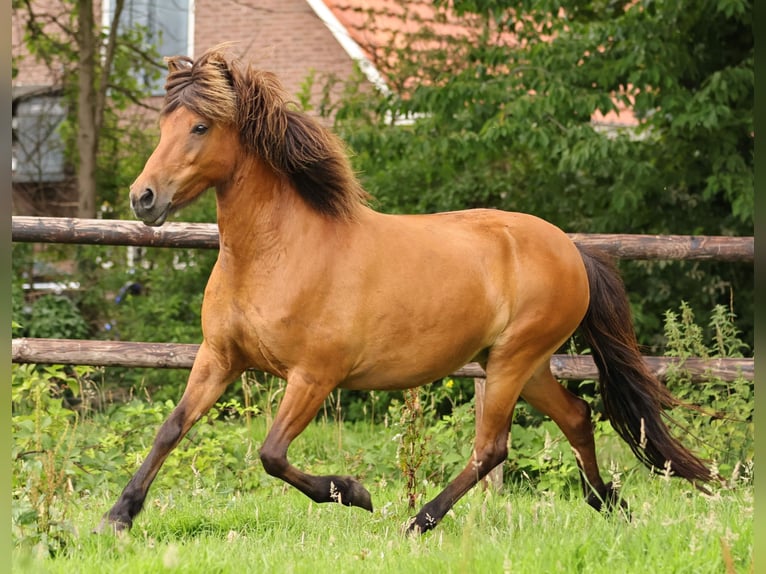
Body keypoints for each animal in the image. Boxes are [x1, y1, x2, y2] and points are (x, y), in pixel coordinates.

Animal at [98, 47, 711, 535]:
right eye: (163, 125)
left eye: (200, 127)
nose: (142, 198)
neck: (278, 253)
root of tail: (571, 248)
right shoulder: (219, 358)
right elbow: (170, 429)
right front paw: (118, 517)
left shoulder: (315, 376)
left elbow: (271, 453)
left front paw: (354, 492)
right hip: (523, 364)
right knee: (578, 417)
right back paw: (610, 504)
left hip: (513, 361)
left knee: (491, 447)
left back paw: (419, 521)